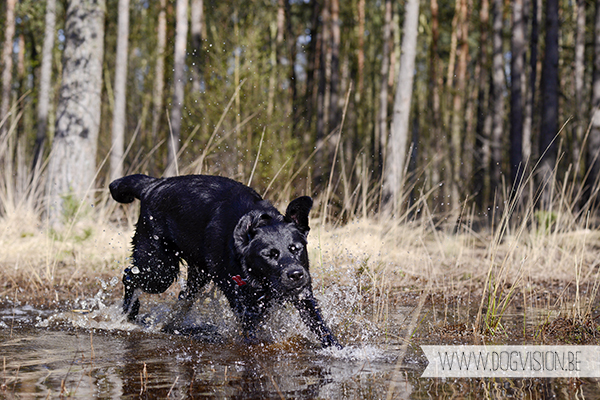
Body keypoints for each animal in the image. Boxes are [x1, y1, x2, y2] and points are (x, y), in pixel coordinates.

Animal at [109, 174, 340, 346]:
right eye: (269, 254)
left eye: (296, 249)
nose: (296, 274)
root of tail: (153, 185)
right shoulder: (244, 306)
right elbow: (252, 333)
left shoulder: (304, 296)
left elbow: (322, 328)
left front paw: (337, 349)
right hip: (159, 270)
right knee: (129, 275)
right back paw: (130, 313)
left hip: (196, 275)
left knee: (183, 297)